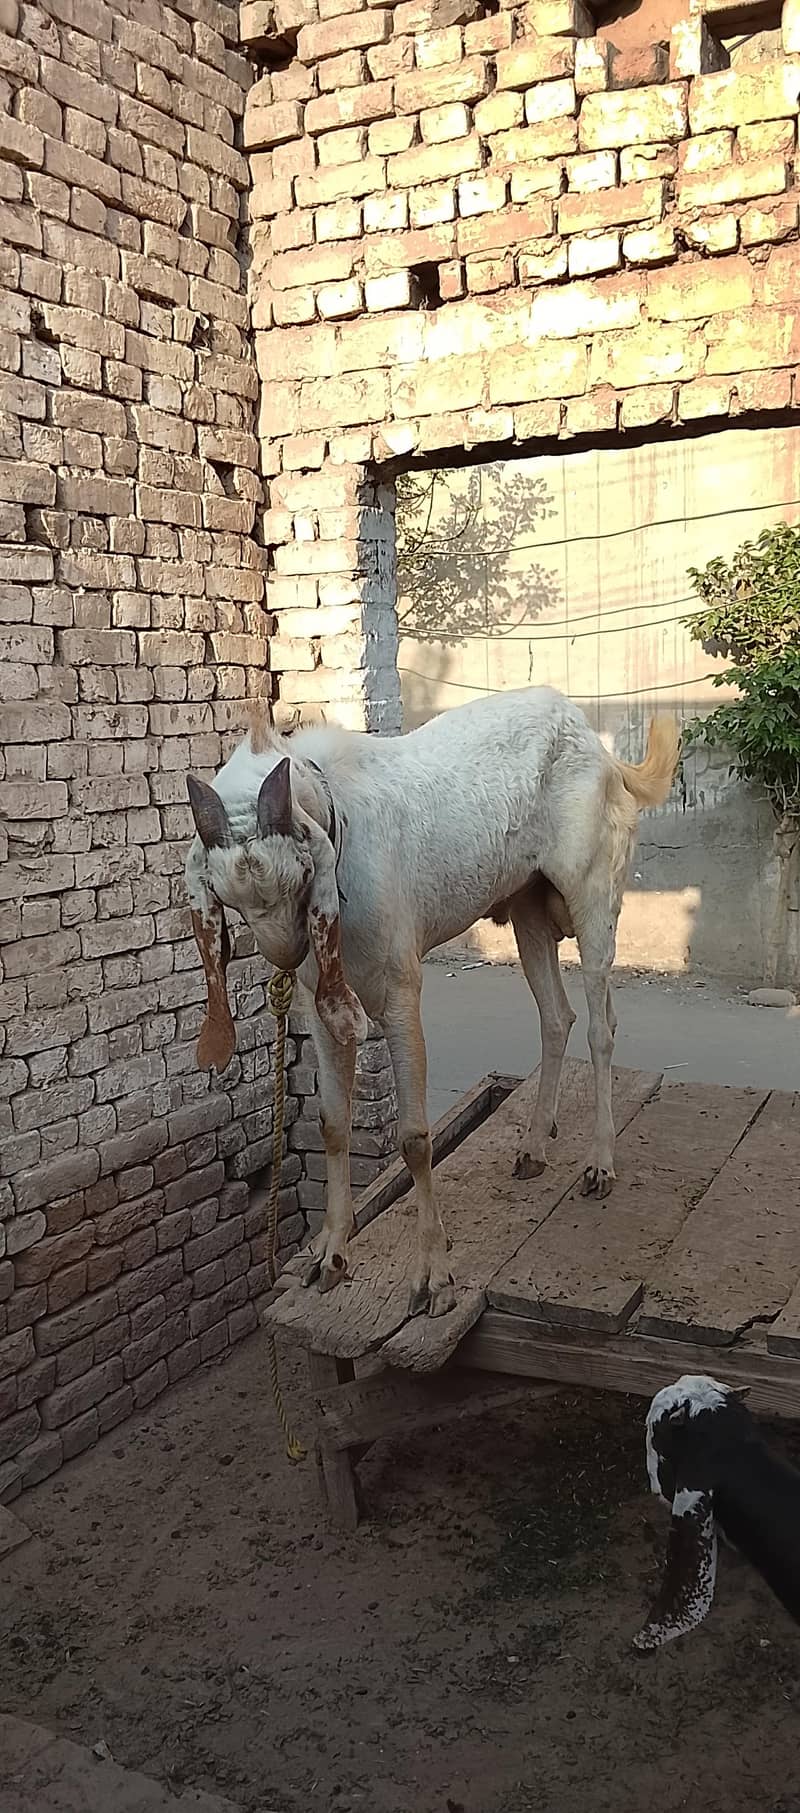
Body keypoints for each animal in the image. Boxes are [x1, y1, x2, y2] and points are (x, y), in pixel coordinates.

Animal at [184, 686, 678, 1317]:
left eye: (300, 875)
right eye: (228, 898)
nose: (287, 953)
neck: (338, 814)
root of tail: (599, 747)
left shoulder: (401, 990)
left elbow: (415, 1139)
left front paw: (433, 1277)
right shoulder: (320, 1003)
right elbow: (332, 1123)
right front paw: (331, 1256)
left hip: (592, 892)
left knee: (601, 1024)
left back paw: (599, 1163)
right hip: (528, 905)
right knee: (555, 1016)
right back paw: (532, 1147)